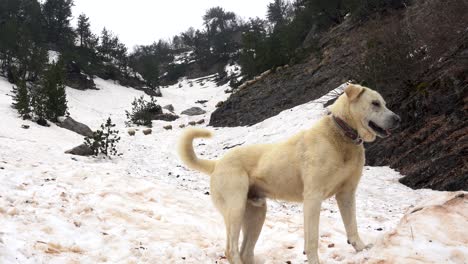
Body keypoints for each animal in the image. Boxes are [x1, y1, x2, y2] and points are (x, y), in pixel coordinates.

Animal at [177, 84, 400, 264]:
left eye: (384, 103)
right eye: (375, 103)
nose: (397, 119)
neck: (342, 136)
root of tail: (217, 163)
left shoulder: (346, 194)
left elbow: (352, 227)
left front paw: (361, 249)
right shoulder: (313, 197)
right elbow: (312, 239)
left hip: (257, 213)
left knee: (245, 251)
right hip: (235, 208)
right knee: (231, 250)